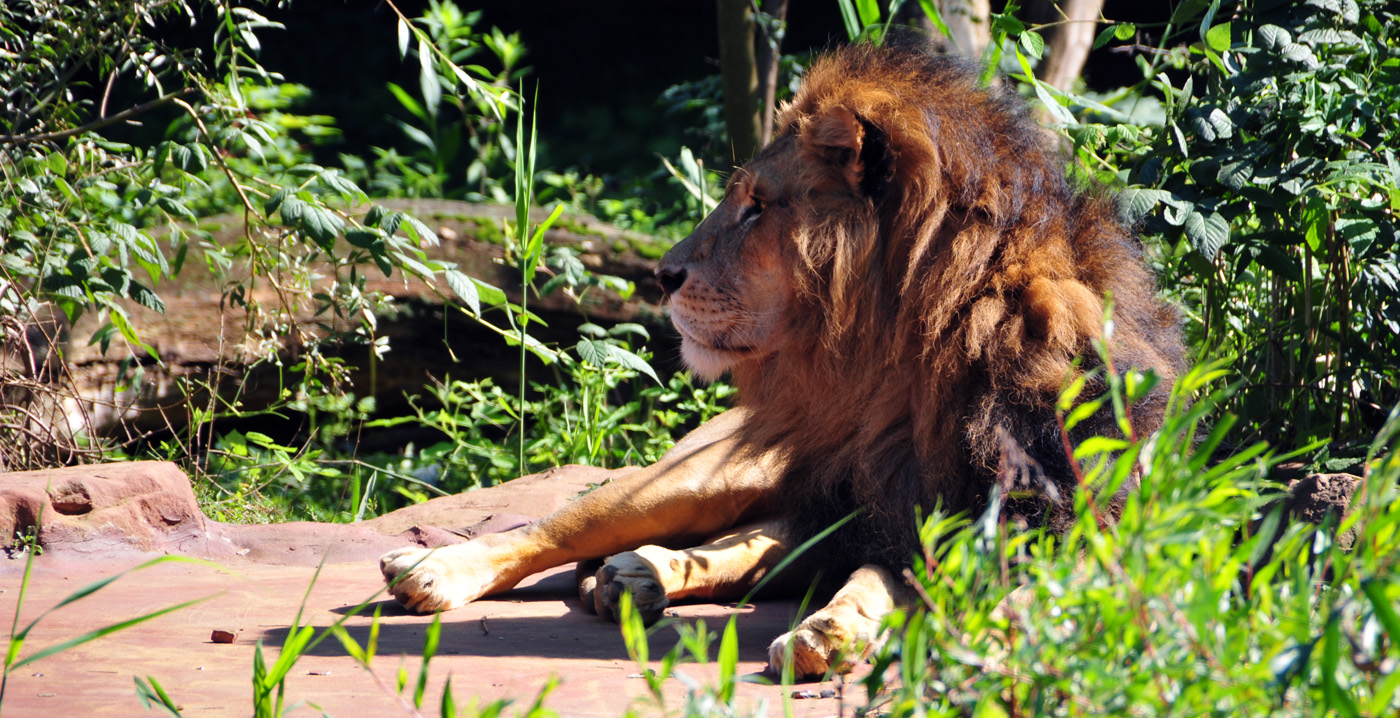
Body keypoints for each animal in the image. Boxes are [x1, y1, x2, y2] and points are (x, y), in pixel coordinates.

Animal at [380, 44, 1181, 677]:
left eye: (759, 206)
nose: (660, 275)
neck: (906, 371)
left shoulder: (1066, 526)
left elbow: (1010, 595)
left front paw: (843, 631)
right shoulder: (897, 511)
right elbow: (876, 574)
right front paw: (838, 631)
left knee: (754, 545)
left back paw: (636, 577)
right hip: (699, 475)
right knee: (563, 526)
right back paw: (436, 570)